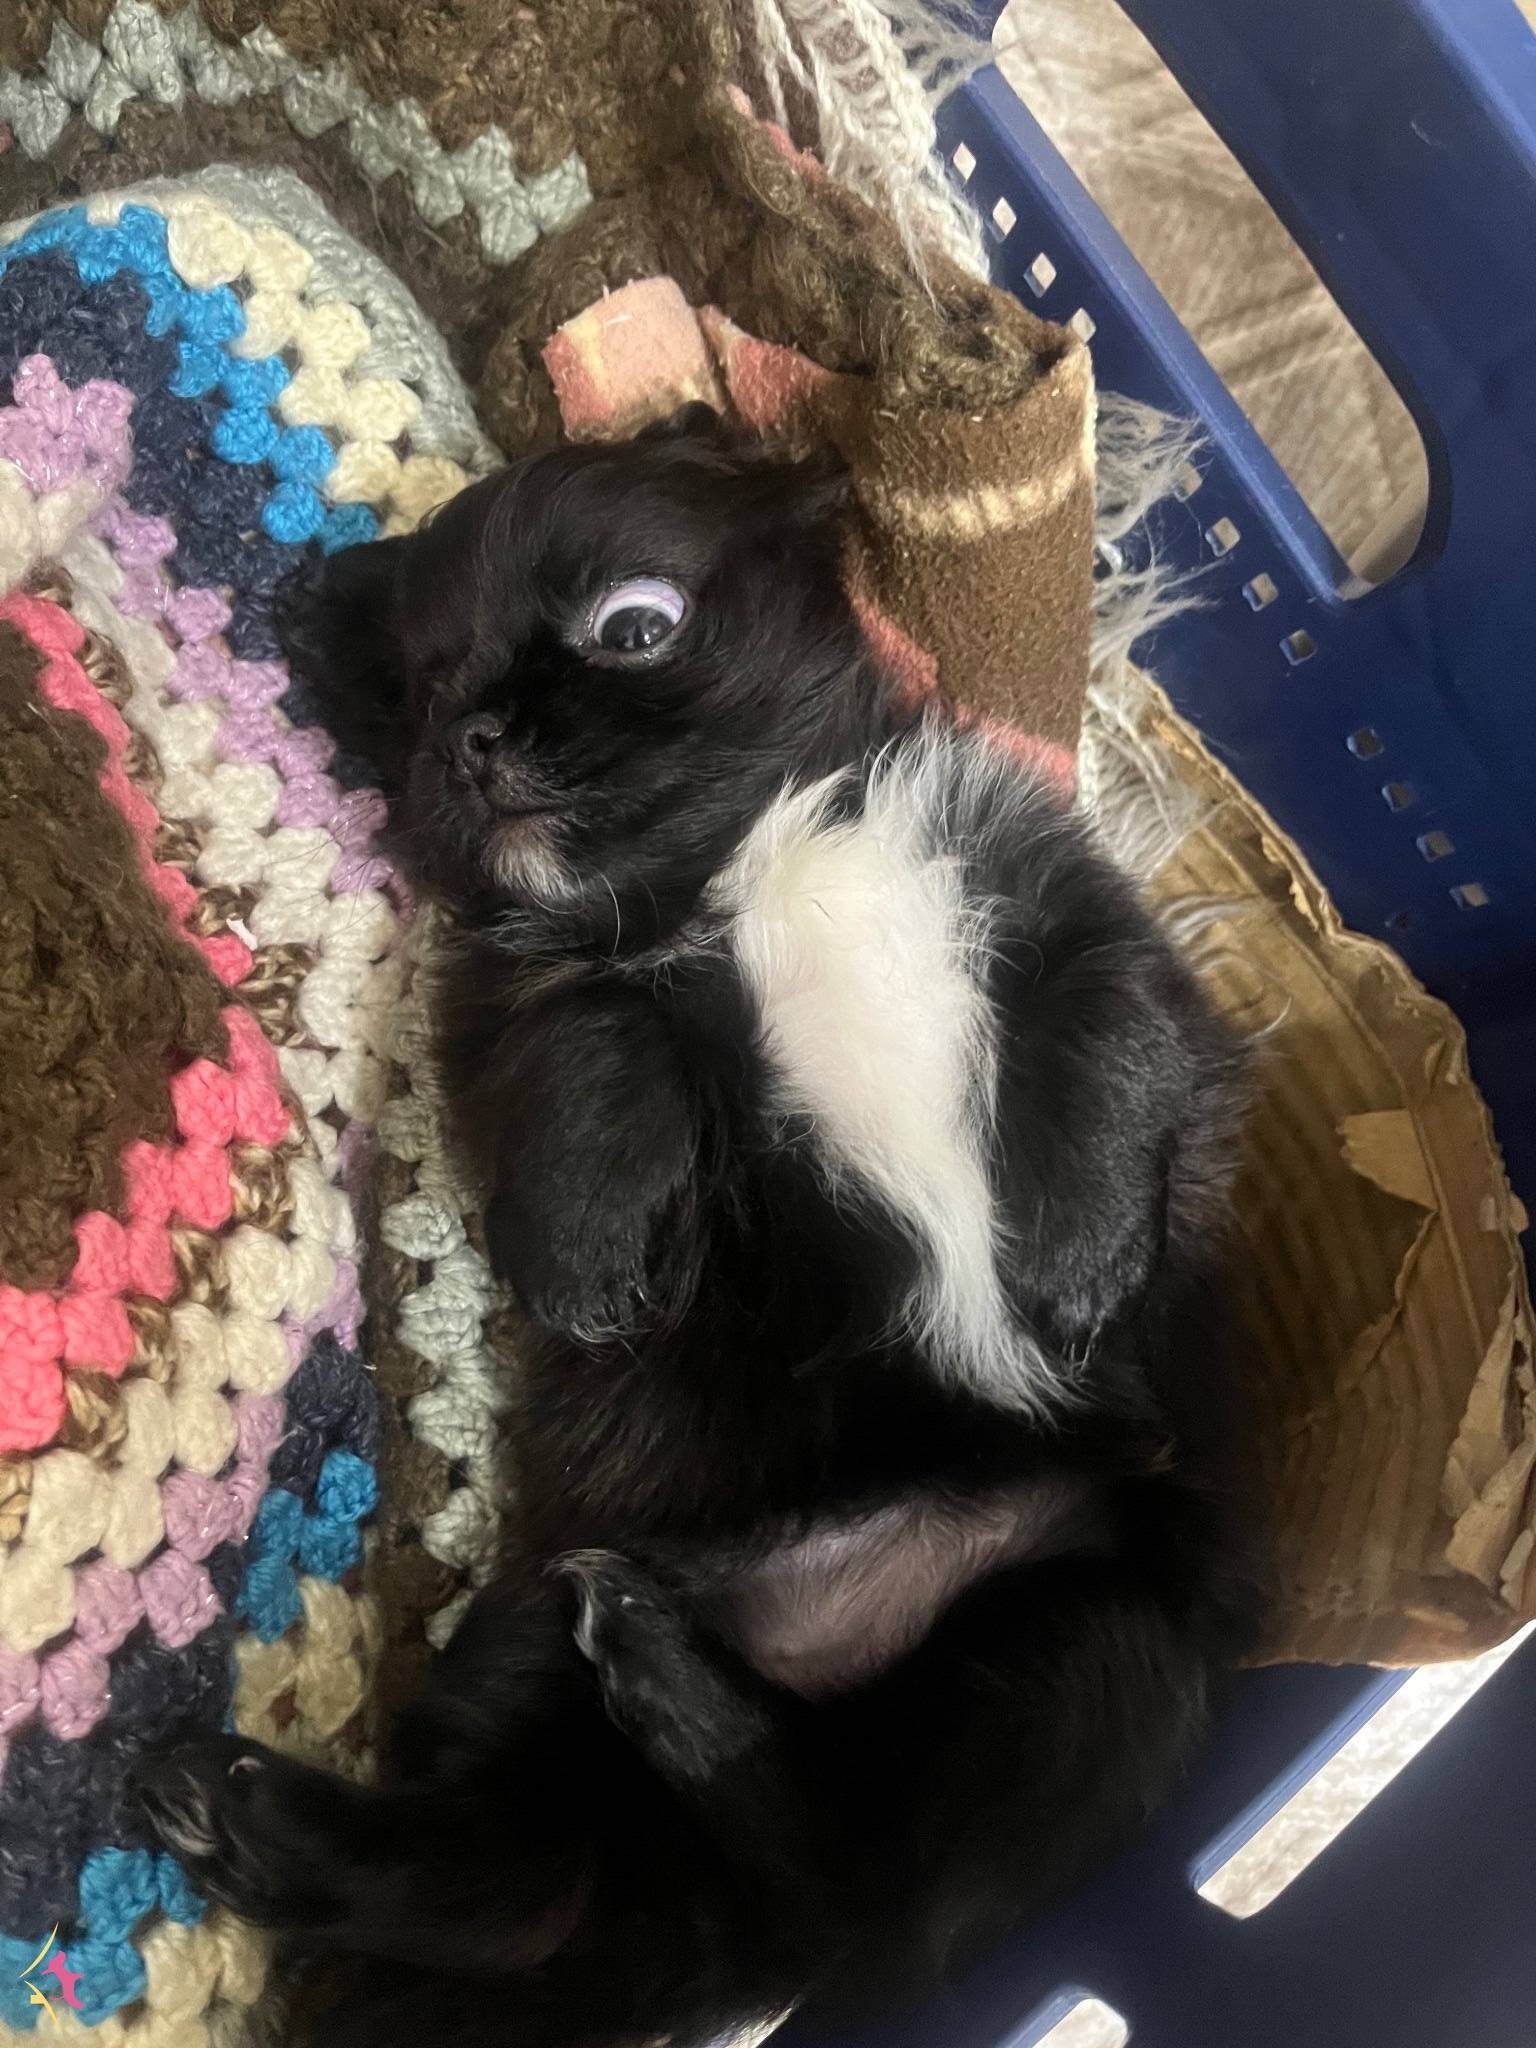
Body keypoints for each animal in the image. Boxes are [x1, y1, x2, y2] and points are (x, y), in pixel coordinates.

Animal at [139, 407, 1268, 2048]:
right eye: (425, 690)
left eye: (635, 627)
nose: (474, 736)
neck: (747, 861)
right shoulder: (546, 985)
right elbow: (593, 1041)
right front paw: (587, 1255)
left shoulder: (1073, 910)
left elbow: (1114, 1032)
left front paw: (1077, 1260)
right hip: (535, 1634)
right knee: (533, 1876)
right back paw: (295, 1803)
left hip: (1097, 1655)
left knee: (836, 1876)